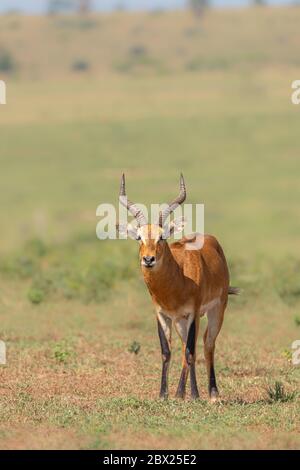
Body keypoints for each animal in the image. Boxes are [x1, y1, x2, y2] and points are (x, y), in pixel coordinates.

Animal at [117, 174, 239, 402]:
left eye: (162, 236)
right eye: (139, 237)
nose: (148, 259)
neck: (178, 279)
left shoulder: (192, 313)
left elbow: (192, 351)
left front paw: (193, 395)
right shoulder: (162, 315)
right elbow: (167, 352)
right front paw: (164, 394)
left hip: (215, 311)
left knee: (207, 344)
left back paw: (211, 393)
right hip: (180, 321)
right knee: (185, 347)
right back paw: (182, 392)